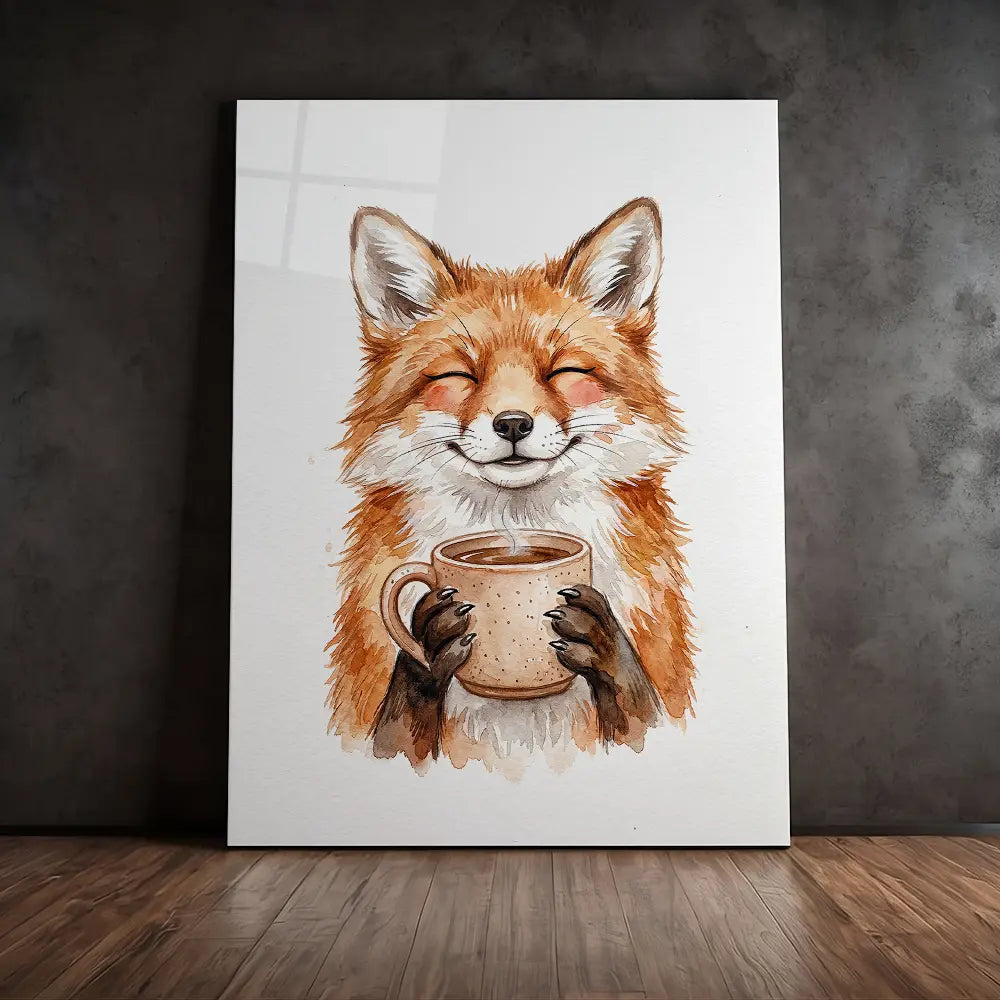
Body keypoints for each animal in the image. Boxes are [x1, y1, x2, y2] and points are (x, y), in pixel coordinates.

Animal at [325, 196, 696, 769]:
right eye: (459, 376)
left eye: (562, 371)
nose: (514, 423)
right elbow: (398, 735)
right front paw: (428, 647)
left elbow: (642, 719)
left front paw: (606, 648)